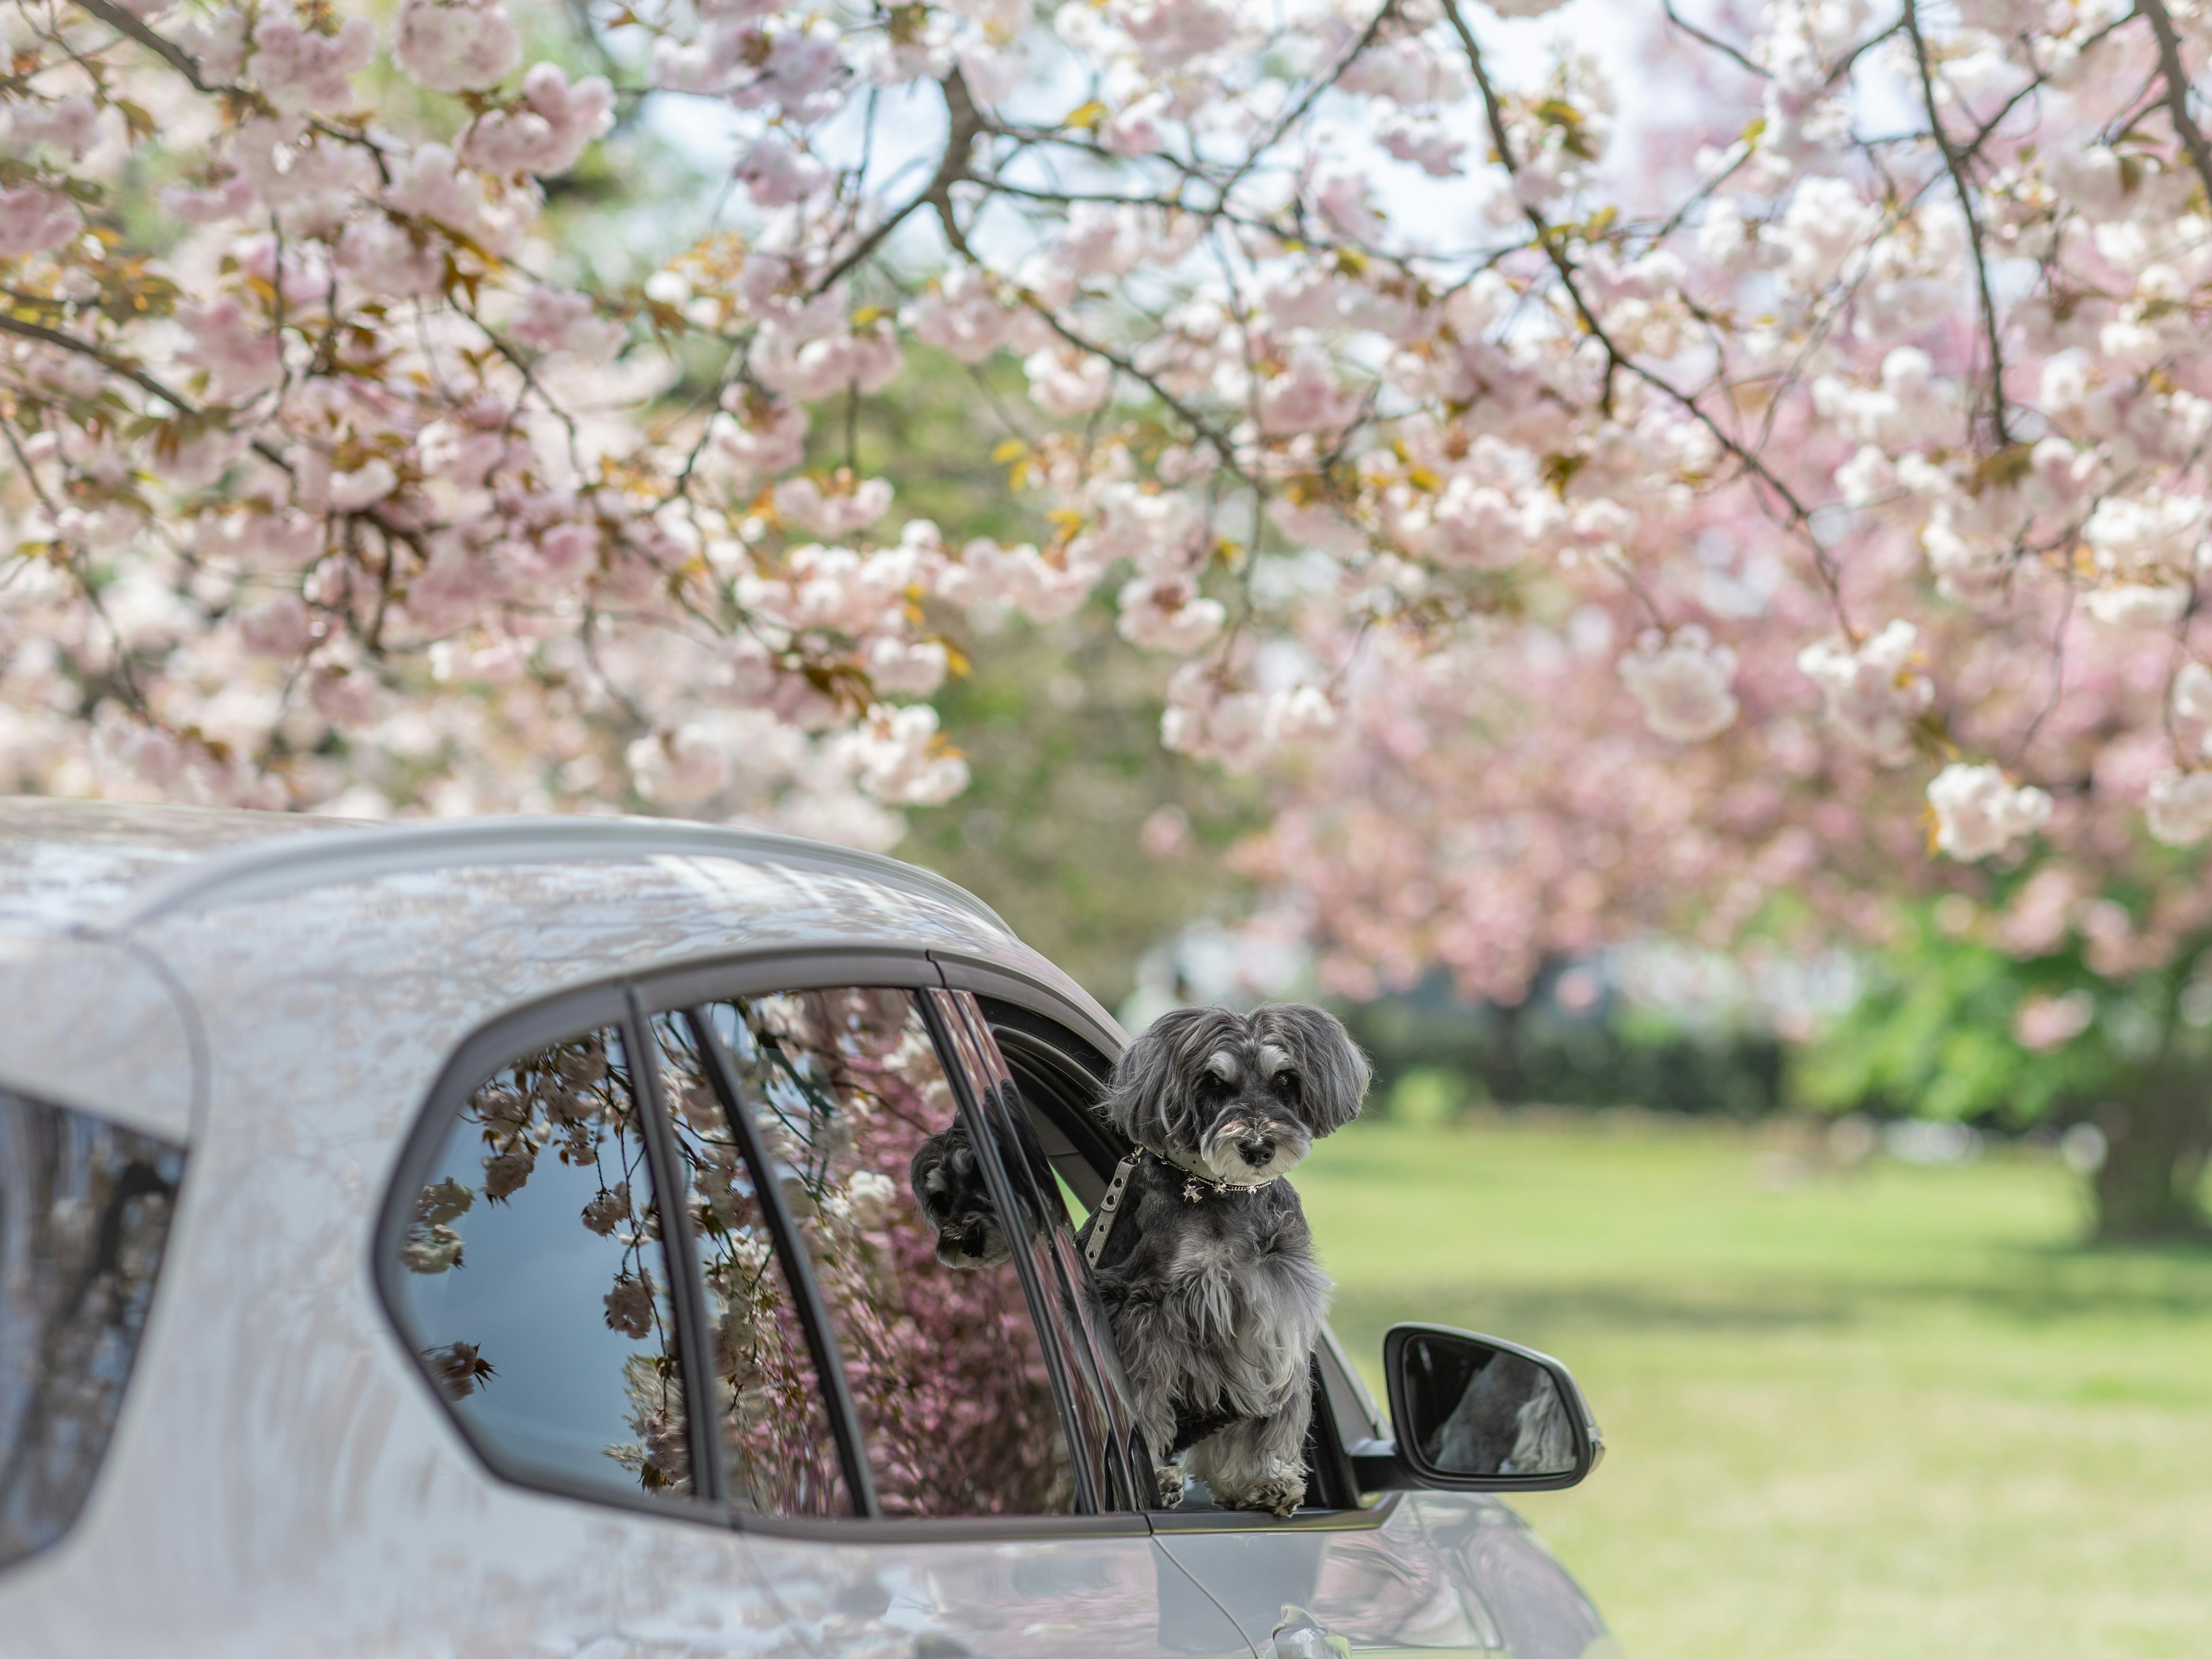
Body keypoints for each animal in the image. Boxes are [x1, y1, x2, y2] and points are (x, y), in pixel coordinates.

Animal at [1075, 999, 1362, 1521]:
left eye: (1286, 1080)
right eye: (1213, 1084)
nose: (1257, 1147)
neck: (1229, 1192)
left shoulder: (1274, 1312)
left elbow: (1265, 1417)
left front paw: (1261, 1480)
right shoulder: (1146, 1312)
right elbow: (1144, 1401)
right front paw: (1152, 1473)